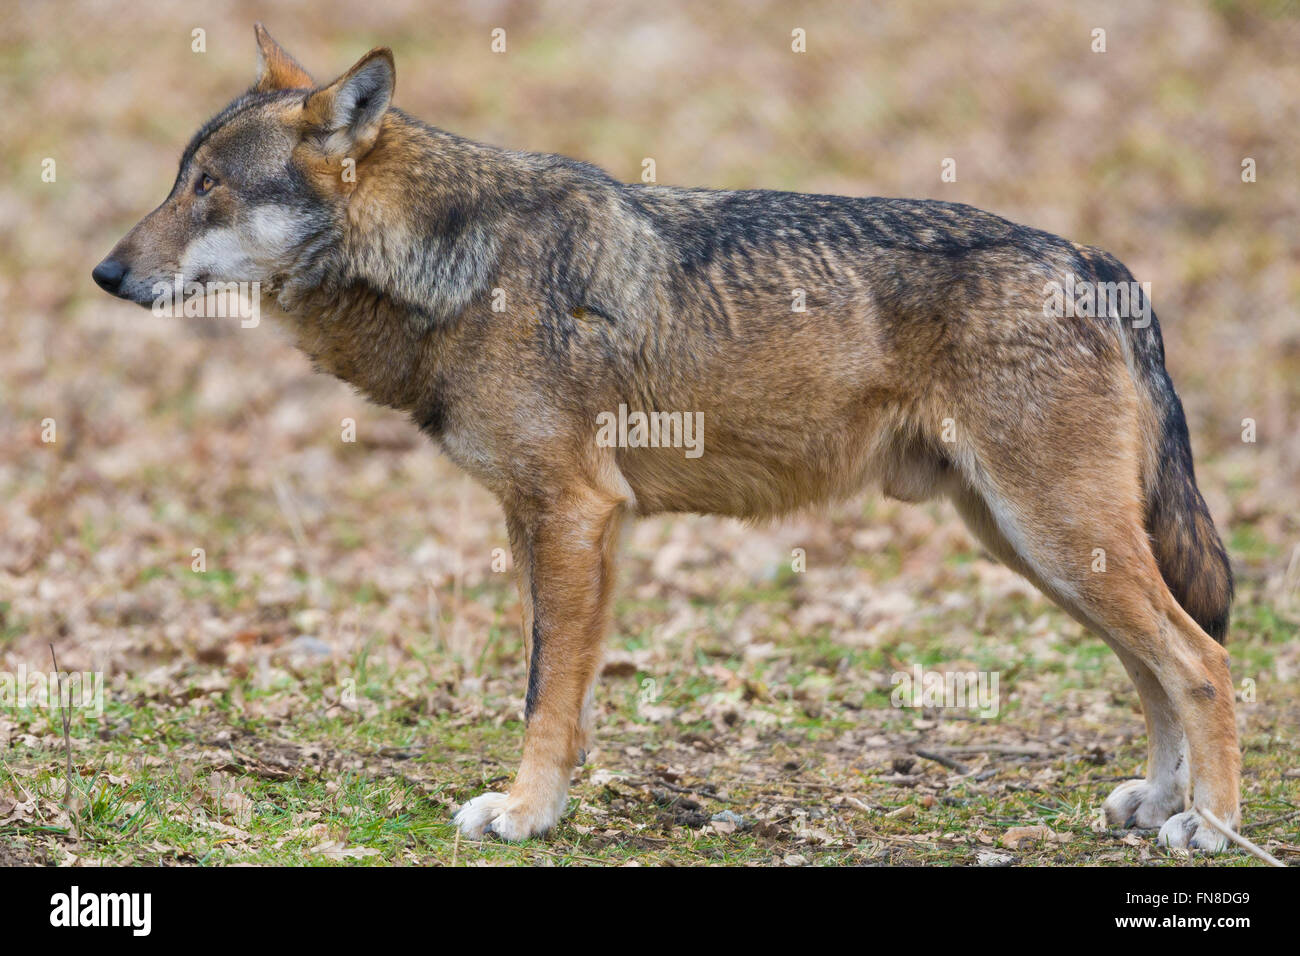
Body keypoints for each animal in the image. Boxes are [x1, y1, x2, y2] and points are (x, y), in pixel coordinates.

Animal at [94, 24, 1237, 853]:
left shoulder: (575, 513)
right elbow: (562, 691)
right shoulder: (552, 525)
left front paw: (522, 813)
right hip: (1033, 545)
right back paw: (1159, 801)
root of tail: (1091, 260)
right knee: (1161, 662)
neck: (460, 265)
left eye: (208, 188)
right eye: (178, 179)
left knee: (1203, 660)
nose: (105, 273)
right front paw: (550, 803)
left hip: (1054, 539)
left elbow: (542, 689)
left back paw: (1212, 826)